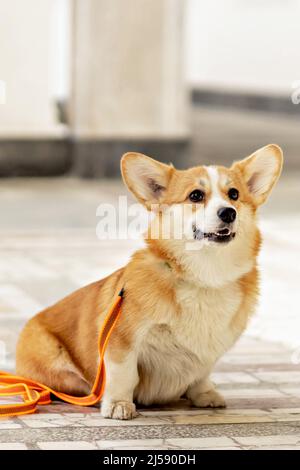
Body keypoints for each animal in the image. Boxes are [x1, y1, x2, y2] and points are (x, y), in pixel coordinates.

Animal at [15, 145, 284, 420]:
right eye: (196, 195)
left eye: (234, 194)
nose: (229, 212)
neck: (206, 276)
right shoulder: (122, 340)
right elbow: (124, 374)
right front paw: (118, 404)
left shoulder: (207, 351)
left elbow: (201, 373)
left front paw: (205, 394)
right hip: (58, 365)